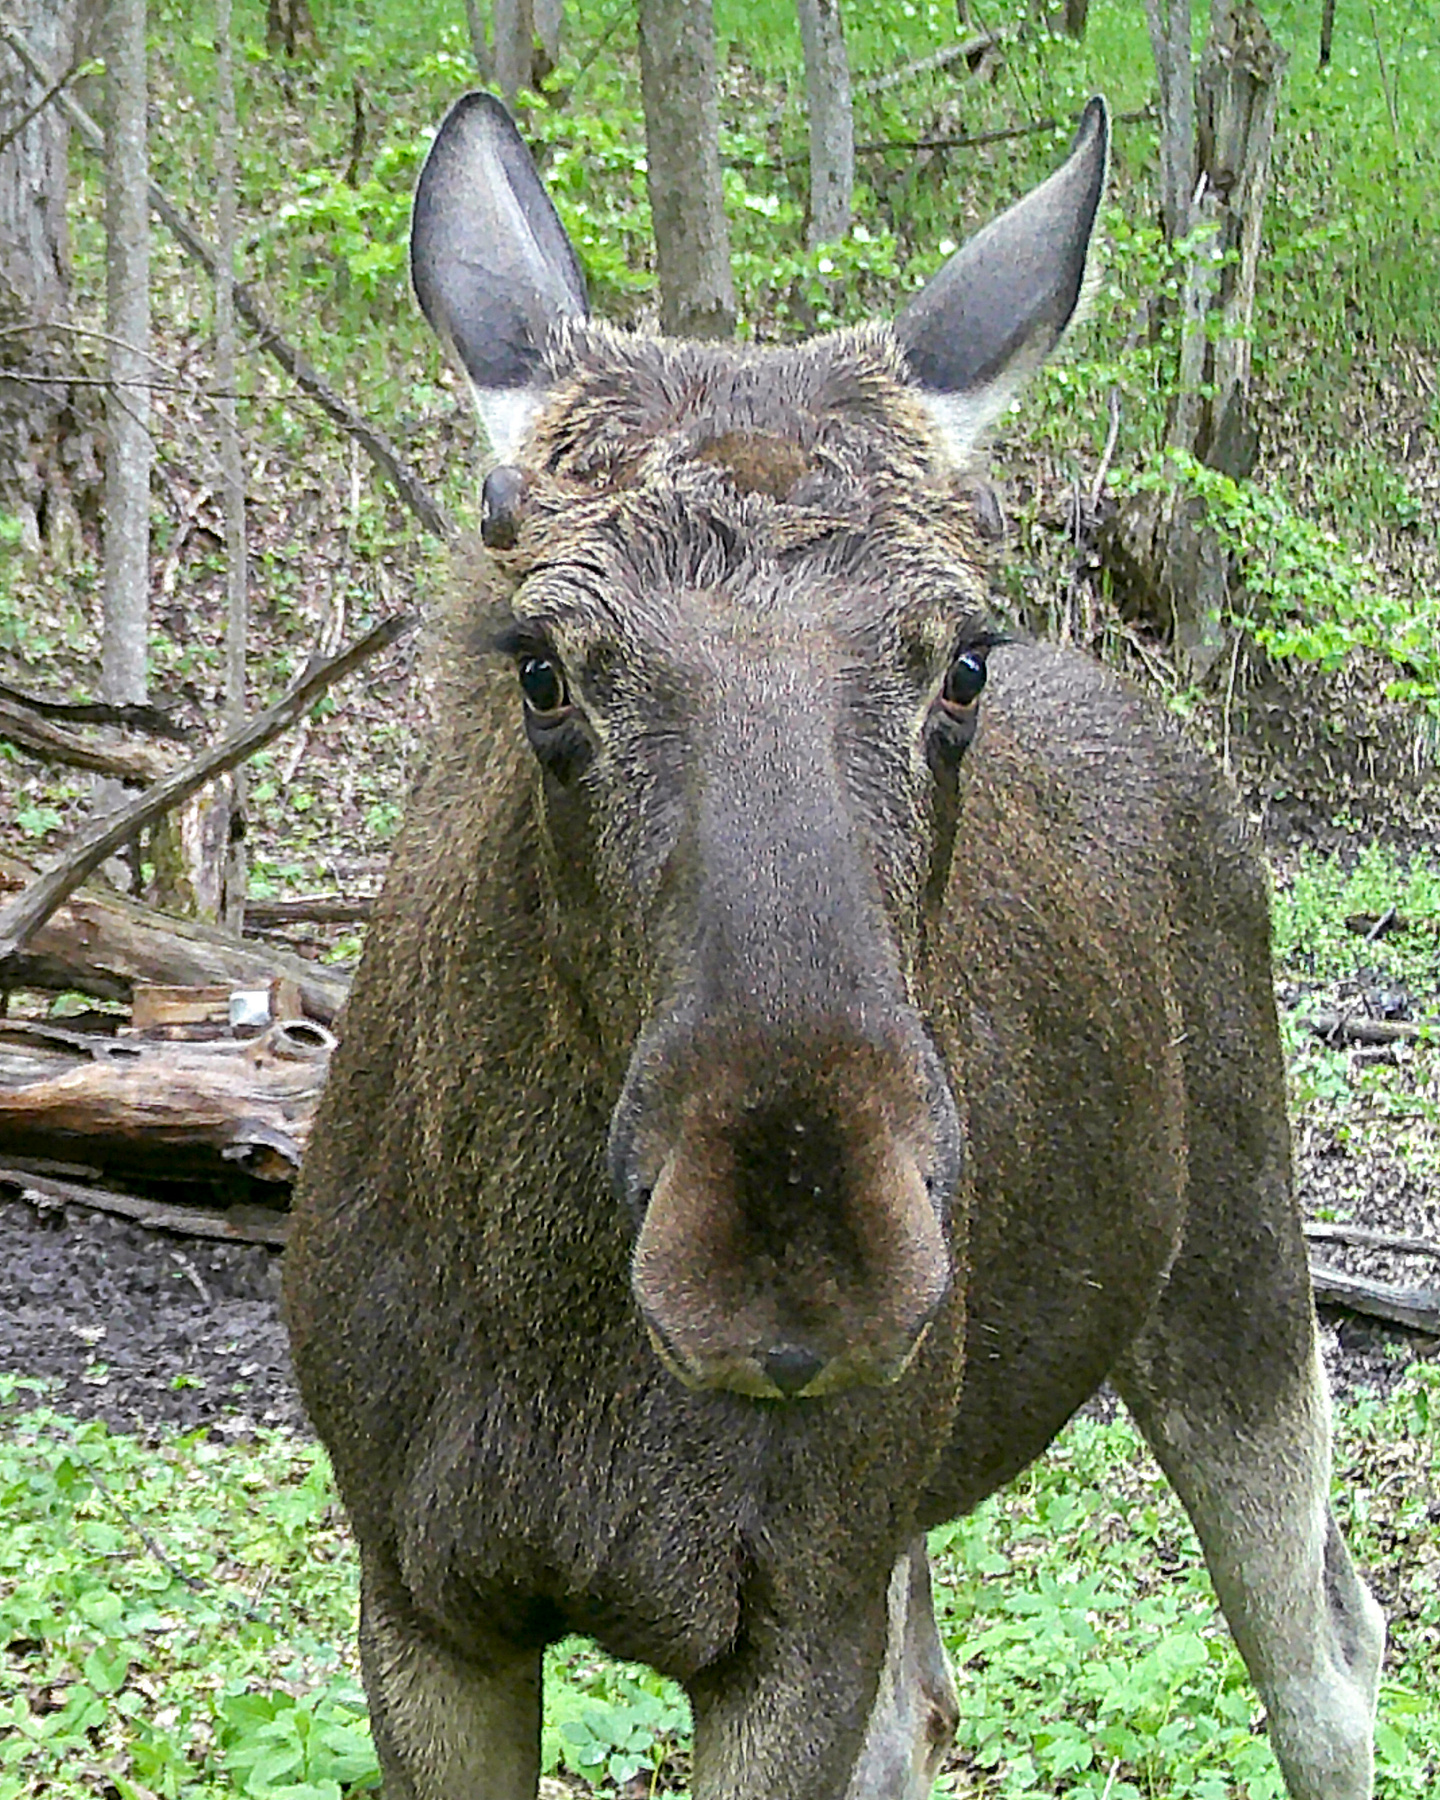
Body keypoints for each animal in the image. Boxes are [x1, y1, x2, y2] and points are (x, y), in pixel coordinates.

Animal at [284, 91, 1384, 1800]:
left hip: (1240, 1271)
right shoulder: (419, 1599)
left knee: (1328, 1656)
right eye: (541, 667)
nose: (799, 1253)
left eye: (964, 662)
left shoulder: (795, 1621)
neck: (551, 1340)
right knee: (935, 1700)